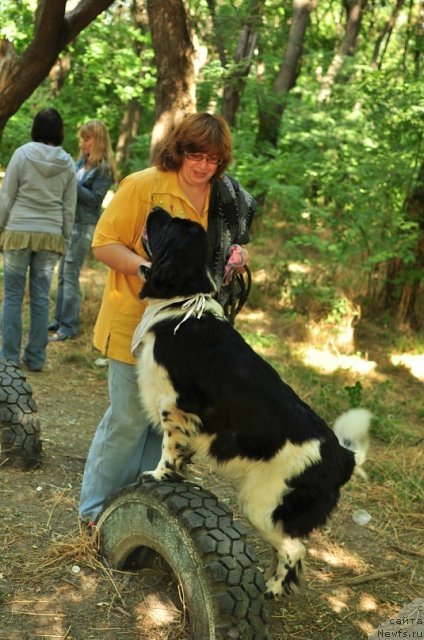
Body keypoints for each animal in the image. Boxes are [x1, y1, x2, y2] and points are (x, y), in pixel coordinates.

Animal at [132, 208, 372, 596]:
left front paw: (159, 474)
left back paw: (272, 589)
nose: (155, 209)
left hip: (264, 503)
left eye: (169, 226)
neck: (185, 303)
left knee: (294, 548)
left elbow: (169, 448)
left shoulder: (176, 404)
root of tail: (342, 456)